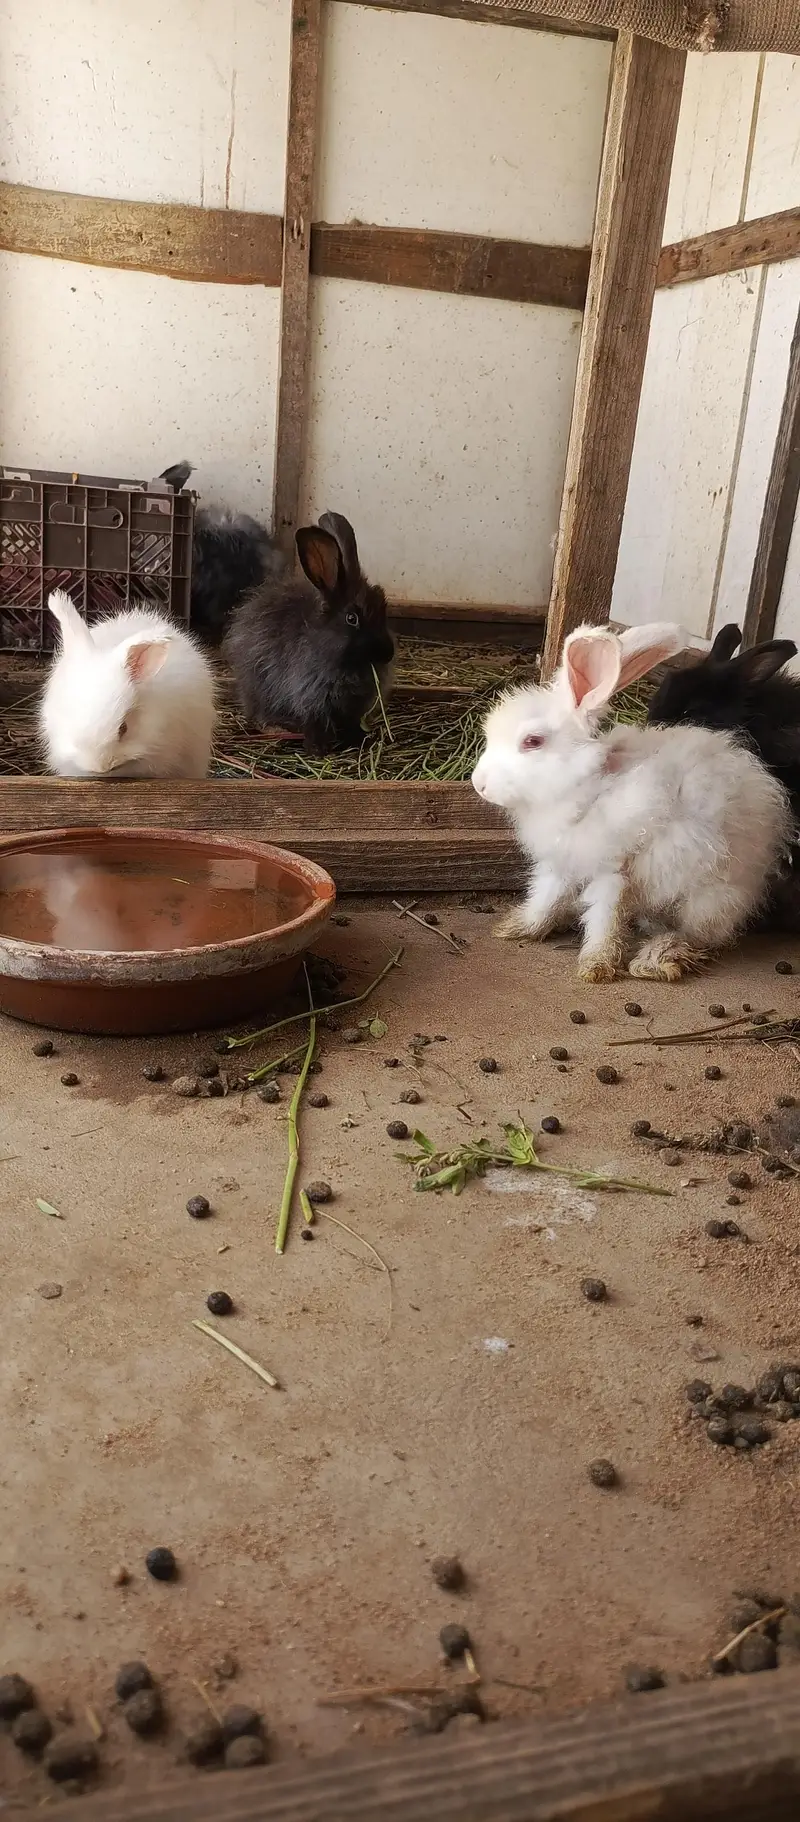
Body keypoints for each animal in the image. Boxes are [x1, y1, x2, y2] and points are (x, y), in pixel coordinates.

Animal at [223, 511, 394, 752]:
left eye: (383, 607)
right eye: (352, 618)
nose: (388, 653)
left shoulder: (353, 707)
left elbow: (351, 723)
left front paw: (358, 741)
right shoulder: (311, 694)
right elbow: (315, 722)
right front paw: (318, 749)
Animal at [471, 621, 792, 982]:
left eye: (533, 741)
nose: (478, 784)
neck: (587, 788)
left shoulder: (612, 869)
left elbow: (604, 918)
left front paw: (596, 966)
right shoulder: (561, 865)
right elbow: (545, 900)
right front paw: (515, 927)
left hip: (709, 897)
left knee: (698, 935)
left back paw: (655, 960)